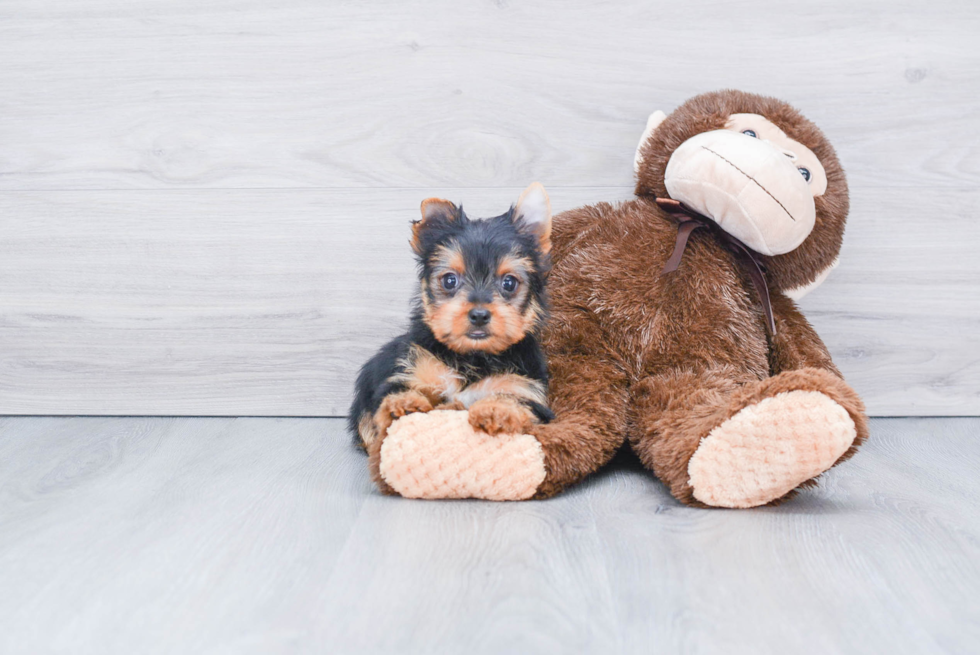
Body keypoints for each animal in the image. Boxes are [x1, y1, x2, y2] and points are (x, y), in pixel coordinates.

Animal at [350, 182, 552, 454]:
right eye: (449, 280)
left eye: (509, 283)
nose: (479, 315)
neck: (472, 356)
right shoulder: (410, 371)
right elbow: (395, 390)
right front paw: (403, 403)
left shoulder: (528, 391)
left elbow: (516, 401)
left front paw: (497, 410)